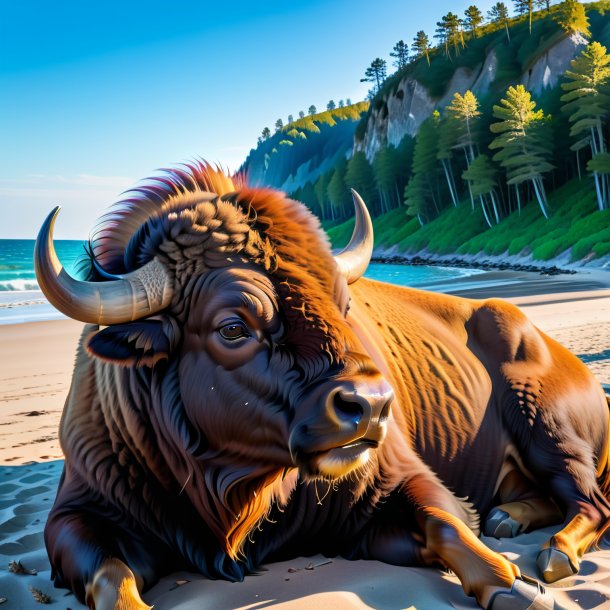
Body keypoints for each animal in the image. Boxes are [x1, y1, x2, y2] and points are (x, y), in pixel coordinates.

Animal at [35, 163, 604, 608]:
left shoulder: (397, 480)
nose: (372, 407)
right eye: (233, 327)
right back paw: (508, 517)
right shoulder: (77, 516)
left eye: (344, 304)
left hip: (549, 430)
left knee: (591, 502)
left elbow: (446, 523)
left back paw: (549, 555)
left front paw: (521, 591)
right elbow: (111, 573)